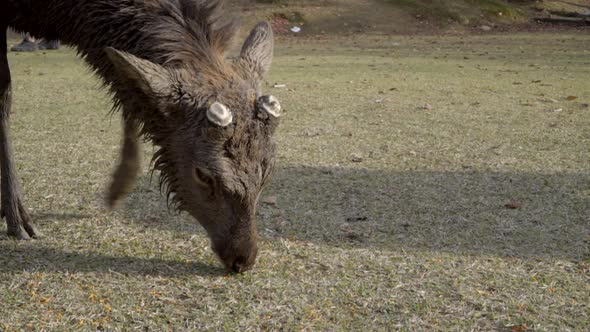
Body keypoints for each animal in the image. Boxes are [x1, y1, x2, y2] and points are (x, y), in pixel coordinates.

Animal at [0, 0, 282, 272]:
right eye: (202, 175)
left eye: (268, 171)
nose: (243, 259)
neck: (57, 16)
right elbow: (5, 95)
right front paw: (16, 217)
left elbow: (131, 95)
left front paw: (118, 187)